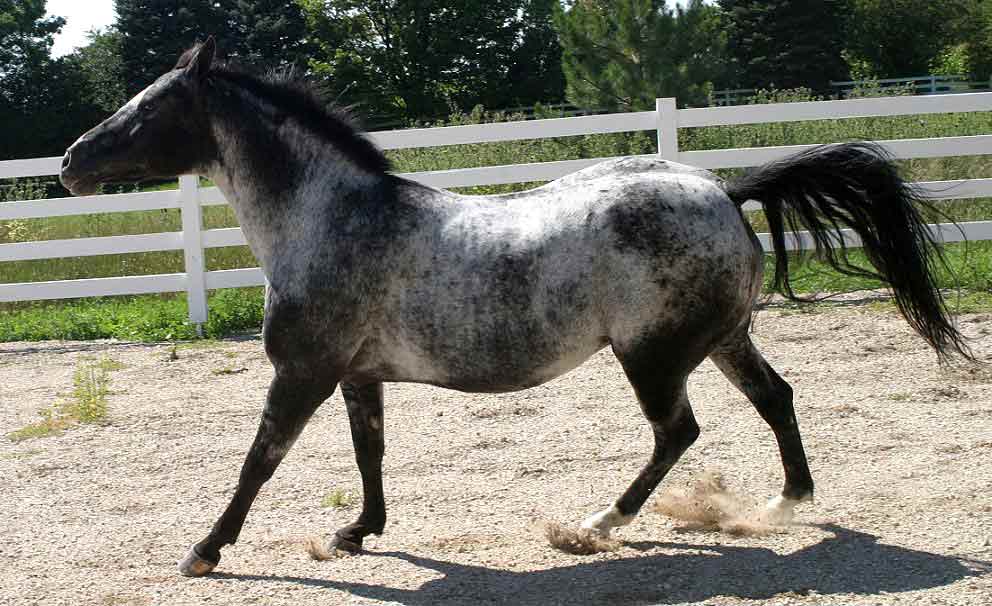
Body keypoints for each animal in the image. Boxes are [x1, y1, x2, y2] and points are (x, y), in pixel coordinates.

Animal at [59, 39, 971, 577]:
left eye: (149, 106)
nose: (69, 161)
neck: (328, 219)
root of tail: (722, 190)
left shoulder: (302, 373)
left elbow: (259, 462)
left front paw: (204, 551)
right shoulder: (357, 375)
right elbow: (369, 454)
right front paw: (359, 532)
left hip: (652, 355)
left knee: (677, 432)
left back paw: (599, 523)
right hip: (722, 339)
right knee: (775, 399)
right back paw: (787, 504)